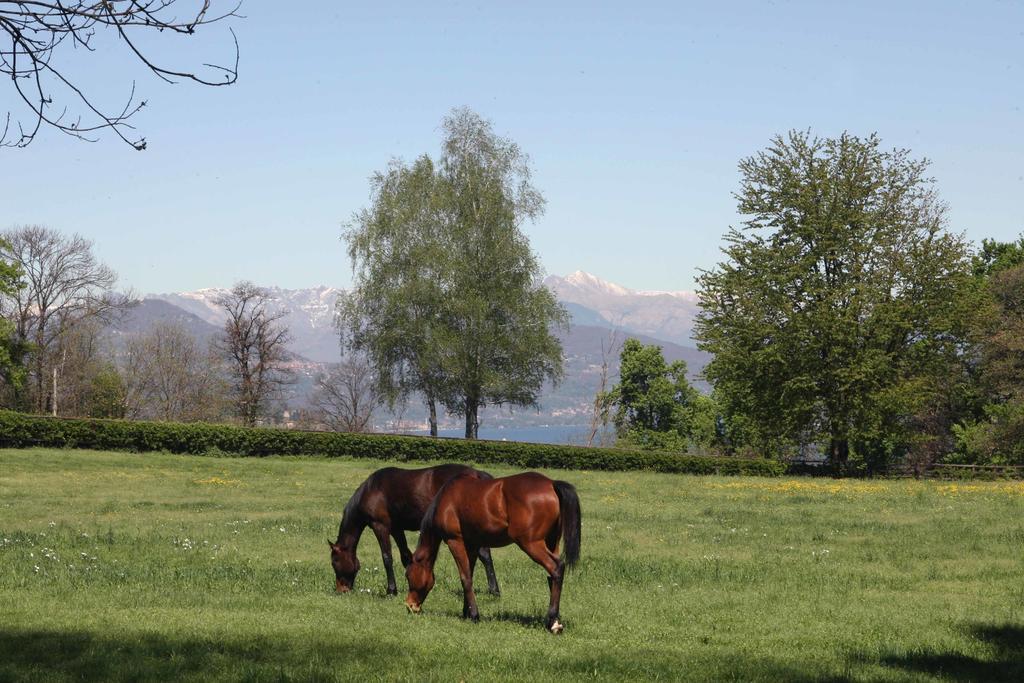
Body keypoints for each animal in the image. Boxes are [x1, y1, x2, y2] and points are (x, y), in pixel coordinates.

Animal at [327, 464, 499, 598]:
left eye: (335, 562)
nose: (341, 590)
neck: (372, 489)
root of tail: (477, 474)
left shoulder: (380, 526)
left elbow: (387, 557)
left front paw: (391, 590)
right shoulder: (396, 529)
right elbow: (406, 556)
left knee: (484, 555)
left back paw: (493, 590)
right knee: (484, 556)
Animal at [403, 471, 581, 634]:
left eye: (408, 575)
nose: (410, 605)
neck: (448, 498)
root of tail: (551, 484)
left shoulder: (455, 542)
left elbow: (465, 578)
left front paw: (474, 615)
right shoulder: (472, 545)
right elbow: (469, 575)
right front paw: (467, 612)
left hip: (531, 544)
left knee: (556, 568)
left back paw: (553, 622)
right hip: (552, 542)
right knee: (553, 576)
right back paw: (555, 619)